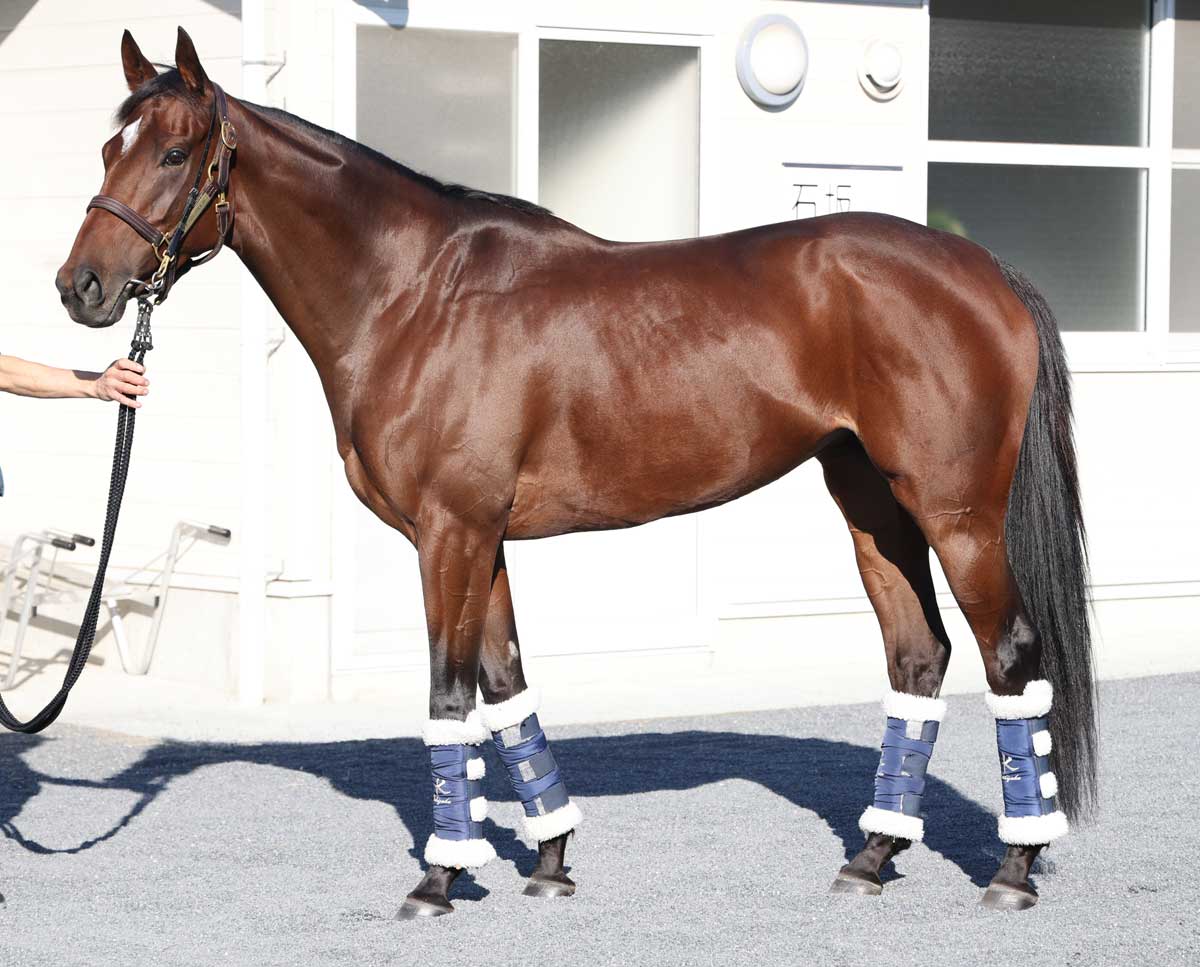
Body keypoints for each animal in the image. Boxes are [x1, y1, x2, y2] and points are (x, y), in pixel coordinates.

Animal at [55, 28, 1096, 916]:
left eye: (174, 154)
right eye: (108, 147)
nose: (80, 288)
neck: (414, 294)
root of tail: (985, 271)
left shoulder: (451, 532)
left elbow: (449, 694)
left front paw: (439, 878)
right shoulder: (481, 537)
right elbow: (506, 683)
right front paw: (548, 860)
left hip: (957, 513)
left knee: (1011, 655)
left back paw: (1013, 868)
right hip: (872, 504)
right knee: (917, 655)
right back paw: (872, 856)